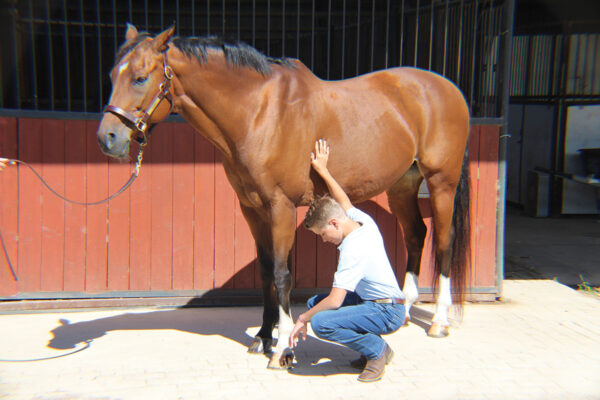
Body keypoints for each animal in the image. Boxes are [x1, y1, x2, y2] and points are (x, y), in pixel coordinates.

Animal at [96, 24, 472, 368]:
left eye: (140, 78)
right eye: (113, 74)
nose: (107, 138)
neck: (259, 112)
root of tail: (446, 87)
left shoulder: (281, 206)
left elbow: (281, 274)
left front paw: (283, 348)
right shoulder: (252, 208)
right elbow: (265, 271)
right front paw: (264, 336)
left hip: (441, 182)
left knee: (443, 243)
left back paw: (439, 322)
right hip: (402, 185)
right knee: (416, 235)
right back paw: (404, 309)